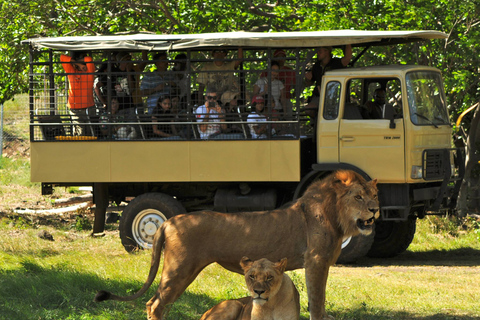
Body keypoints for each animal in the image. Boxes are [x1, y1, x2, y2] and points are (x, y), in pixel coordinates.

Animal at [94, 169, 378, 318]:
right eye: (358, 196)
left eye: (374, 195)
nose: (375, 210)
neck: (337, 216)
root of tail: (169, 221)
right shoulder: (315, 261)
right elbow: (317, 300)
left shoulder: (322, 263)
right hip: (178, 269)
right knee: (154, 303)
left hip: (185, 272)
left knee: (156, 302)